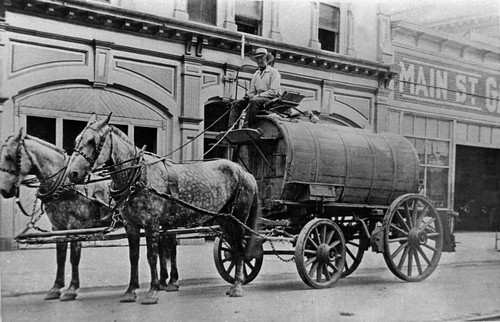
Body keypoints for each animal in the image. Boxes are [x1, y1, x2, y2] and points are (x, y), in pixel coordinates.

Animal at [0, 130, 170, 300]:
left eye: (8, 156)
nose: (4, 191)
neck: (64, 185)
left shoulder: (76, 226)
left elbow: (74, 257)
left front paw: (71, 289)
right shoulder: (58, 228)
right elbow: (60, 257)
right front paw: (56, 288)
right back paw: (163, 281)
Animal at [67, 114, 262, 304]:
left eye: (92, 141)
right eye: (77, 140)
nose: (72, 173)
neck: (138, 176)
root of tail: (245, 172)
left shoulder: (151, 224)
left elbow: (152, 256)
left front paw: (153, 291)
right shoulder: (131, 225)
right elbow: (134, 256)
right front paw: (131, 291)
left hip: (239, 217)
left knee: (240, 248)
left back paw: (237, 286)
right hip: (224, 220)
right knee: (234, 248)